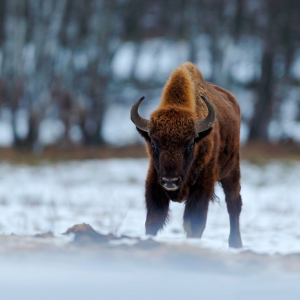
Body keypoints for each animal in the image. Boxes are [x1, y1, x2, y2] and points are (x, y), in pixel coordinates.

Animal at [130, 62, 243, 247]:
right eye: (153, 144)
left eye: (190, 144)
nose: (170, 181)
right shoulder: (154, 180)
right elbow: (153, 221)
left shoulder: (202, 185)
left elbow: (194, 224)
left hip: (232, 170)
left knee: (233, 204)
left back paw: (236, 244)